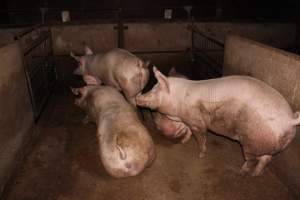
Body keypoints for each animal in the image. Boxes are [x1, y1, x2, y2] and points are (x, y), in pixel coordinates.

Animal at [137, 67, 300, 177]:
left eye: (155, 90)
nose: (138, 97)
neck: (178, 101)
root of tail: (289, 120)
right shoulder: (189, 120)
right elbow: (188, 132)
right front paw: (183, 142)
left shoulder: (197, 123)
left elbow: (201, 138)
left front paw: (200, 155)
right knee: (267, 158)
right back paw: (255, 174)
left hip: (251, 141)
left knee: (253, 159)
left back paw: (241, 173)